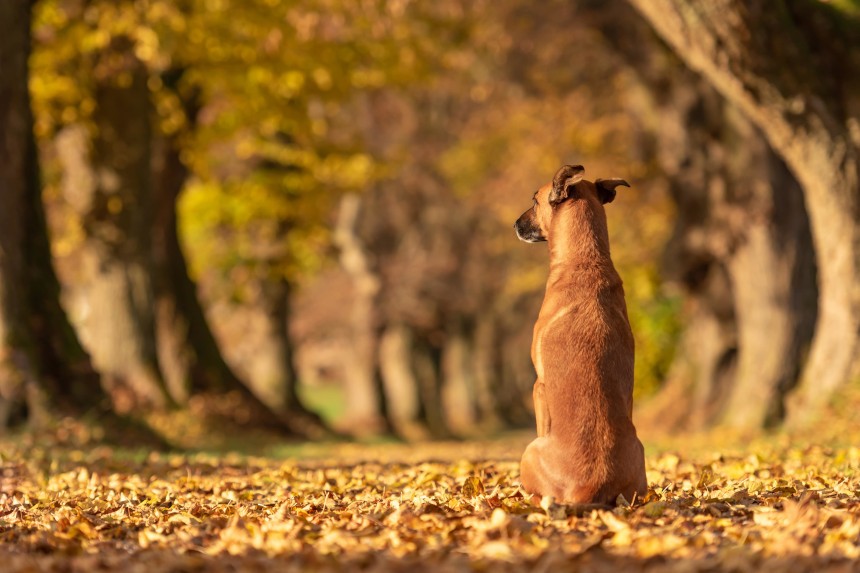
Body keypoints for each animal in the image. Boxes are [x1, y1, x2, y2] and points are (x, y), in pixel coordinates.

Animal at [512, 163, 648, 502]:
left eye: (534, 200)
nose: (515, 224)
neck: (586, 259)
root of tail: (591, 486)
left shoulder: (538, 386)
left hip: (530, 450)